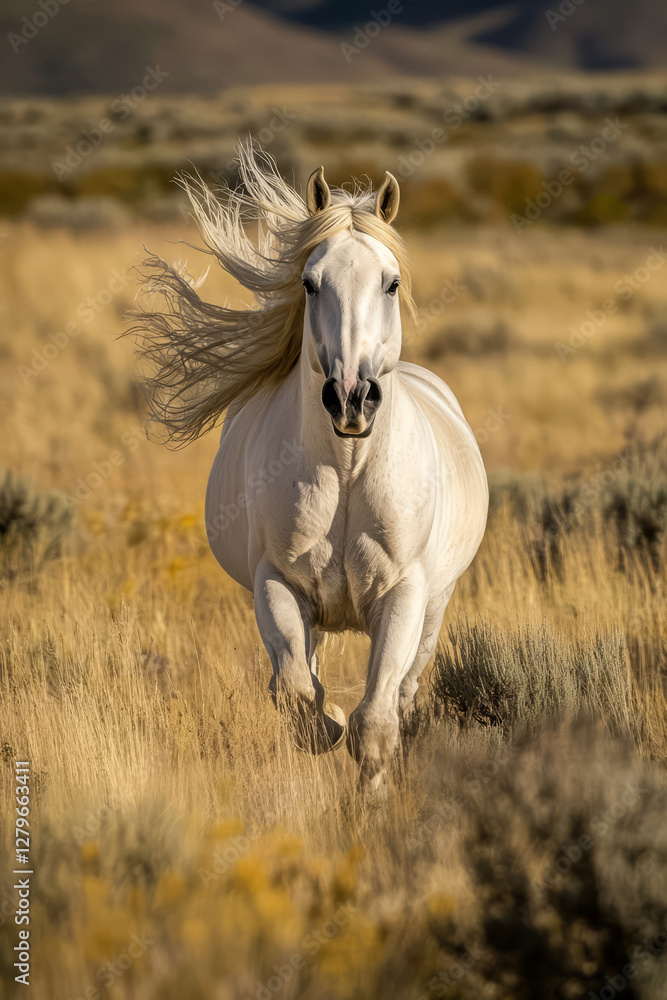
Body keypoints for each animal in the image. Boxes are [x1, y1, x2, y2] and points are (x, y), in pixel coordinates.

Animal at [130, 144, 488, 792]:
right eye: (309, 282)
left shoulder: (405, 593)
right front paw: (327, 724)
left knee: (405, 691)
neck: (347, 471)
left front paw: (370, 797)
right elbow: (298, 692)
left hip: (435, 606)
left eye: (392, 282)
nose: (351, 398)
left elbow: (377, 722)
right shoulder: (279, 582)